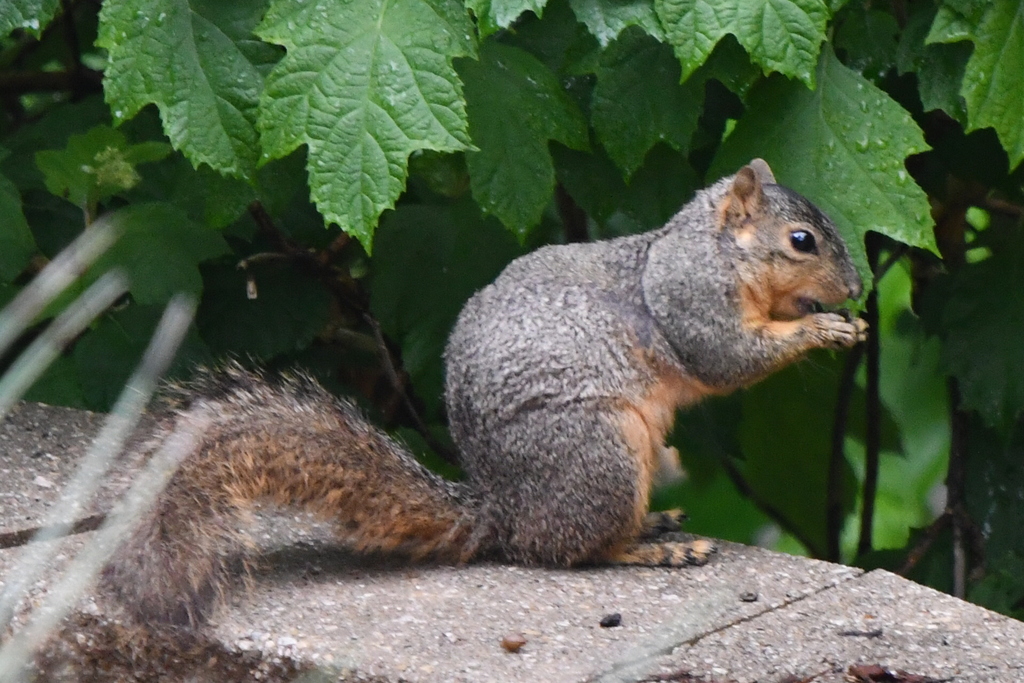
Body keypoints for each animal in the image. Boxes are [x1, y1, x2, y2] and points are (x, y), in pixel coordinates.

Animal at [101, 159, 867, 625]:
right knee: (565, 550)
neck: (714, 251)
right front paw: (823, 328)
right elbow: (726, 358)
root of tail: (503, 509)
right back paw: (645, 548)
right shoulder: (690, 299)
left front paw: (841, 322)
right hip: (599, 452)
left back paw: (652, 525)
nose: (859, 287)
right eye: (802, 240)